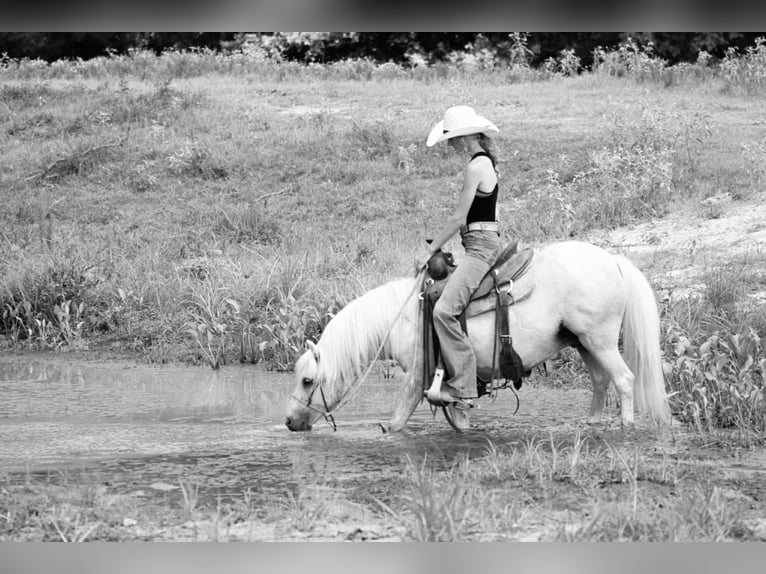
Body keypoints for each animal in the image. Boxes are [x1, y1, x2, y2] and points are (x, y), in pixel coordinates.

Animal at [285, 240, 670, 433]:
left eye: (307, 380)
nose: (289, 422)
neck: (402, 318)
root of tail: (614, 260)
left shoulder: (419, 374)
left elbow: (397, 421)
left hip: (600, 341)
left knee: (624, 380)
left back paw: (625, 427)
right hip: (584, 343)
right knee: (601, 382)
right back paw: (591, 423)